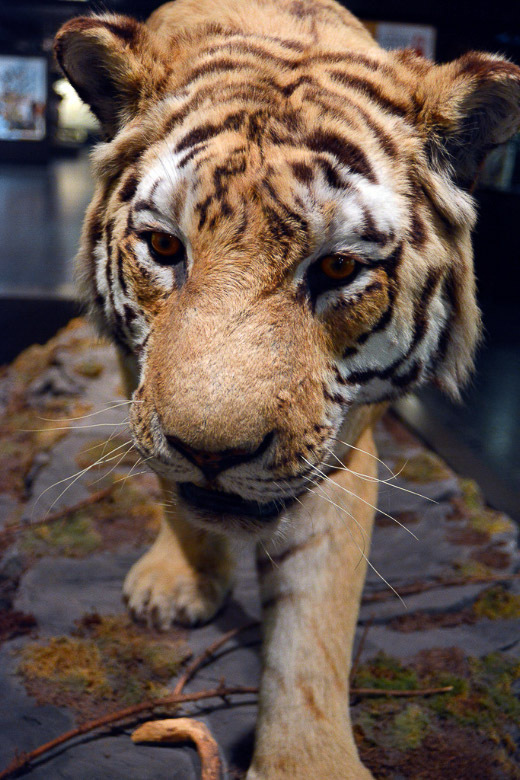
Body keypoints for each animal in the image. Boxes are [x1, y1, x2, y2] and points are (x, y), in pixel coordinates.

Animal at [54, 1, 520, 777]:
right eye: (165, 247)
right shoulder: (142, 385)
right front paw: (181, 577)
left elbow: (313, 616)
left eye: (336, 269)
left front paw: (308, 760)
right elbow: (172, 486)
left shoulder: (341, 440)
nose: (210, 453)